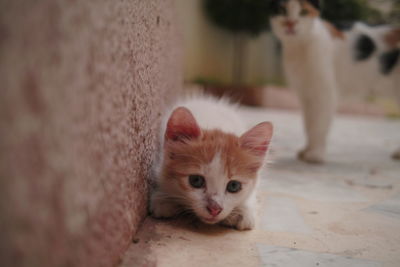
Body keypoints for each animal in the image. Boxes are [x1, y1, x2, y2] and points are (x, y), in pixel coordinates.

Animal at [268, 0, 400, 163]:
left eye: (303, 12)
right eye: (282, 10)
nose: (290, 23)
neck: (299, 47)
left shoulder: (325, 93)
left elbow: (318, 125)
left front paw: (315, 154)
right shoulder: (307, 94)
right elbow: (309, 124)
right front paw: (307, 150)